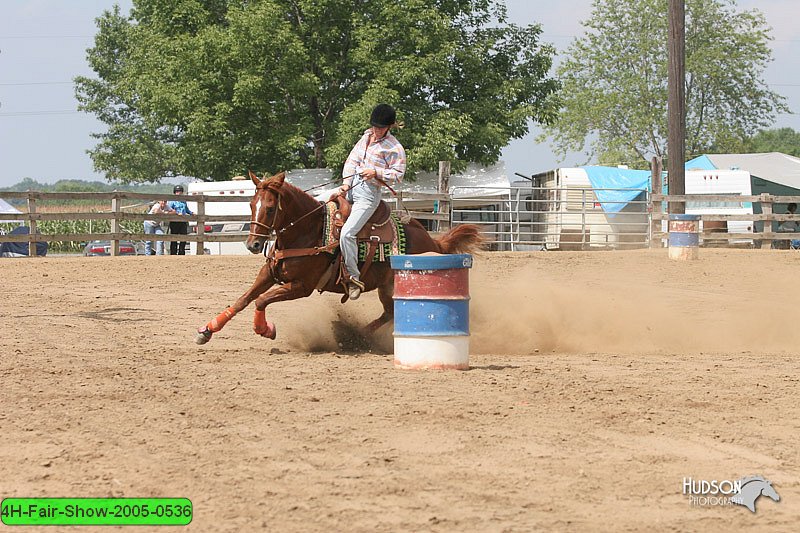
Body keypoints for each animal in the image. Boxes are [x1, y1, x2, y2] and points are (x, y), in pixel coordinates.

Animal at [195, 170, 482, 344]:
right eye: (250, 204)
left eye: (270, 207)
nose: (253, 244)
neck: (307, 231)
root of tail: (432, 240)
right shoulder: (268, 273)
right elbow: (244, 300)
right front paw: (207, 330)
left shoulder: (302, 287)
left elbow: (261, 300)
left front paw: (265, 329)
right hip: (388, 287)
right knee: (389, 313)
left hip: (393, 285)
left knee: (390, 314)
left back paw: (355, 337)